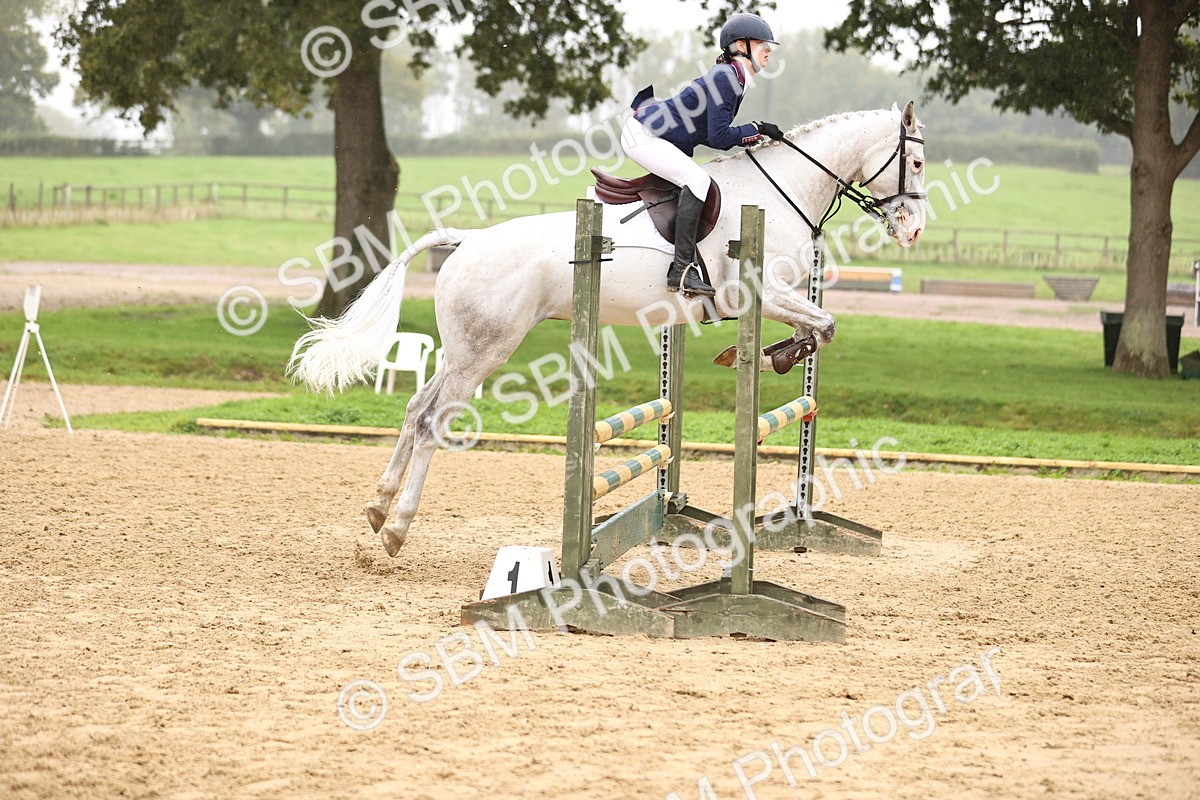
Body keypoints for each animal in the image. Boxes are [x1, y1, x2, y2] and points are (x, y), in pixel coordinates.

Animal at [289, 102, 928, 556]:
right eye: (917, 163)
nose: (914, 229)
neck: (782, 190)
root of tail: (467, 241)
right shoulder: (759, 293)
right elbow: (825, 324)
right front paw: (774, 355)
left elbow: (821, 328)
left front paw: (776, 355)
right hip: (485, 353)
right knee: (430, 424)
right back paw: (397, 528)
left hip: (461, 350)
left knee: (414, 408)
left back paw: (378, 506)